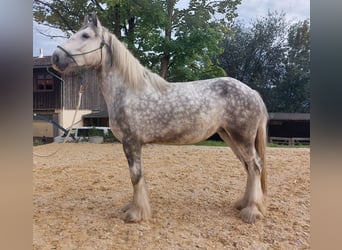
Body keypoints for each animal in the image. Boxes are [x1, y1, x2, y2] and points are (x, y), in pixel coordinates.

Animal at [52, 12, 268, 224]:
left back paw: (252, 211)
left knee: (255, 166)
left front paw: (136, 214)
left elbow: (135, 177)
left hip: (242, 138)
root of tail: (252, 92)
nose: (55, 57)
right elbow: (137, 177)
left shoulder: (131, 142)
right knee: (249, 167)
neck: (129, 91)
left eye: (85, 36)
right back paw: (244, 204)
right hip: (229, 136)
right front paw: (134, 208)